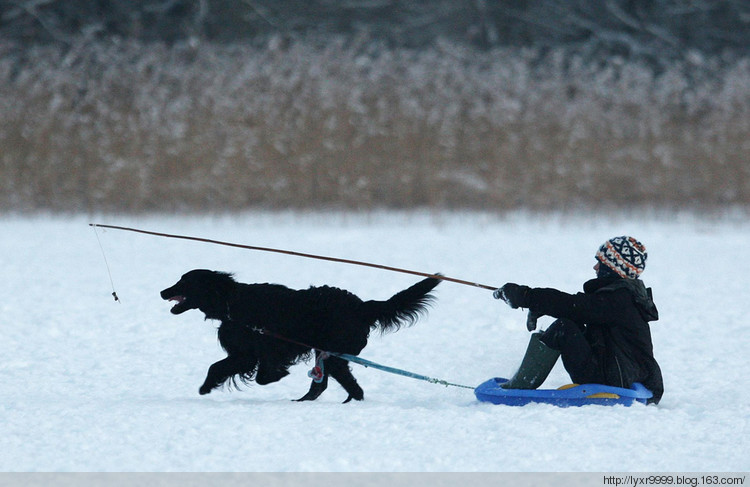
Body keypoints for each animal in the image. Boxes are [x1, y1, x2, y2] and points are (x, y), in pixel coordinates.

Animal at [160, 268, 440, 402]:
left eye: (185, 281)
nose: (163, 291)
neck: (231, 303)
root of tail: (363, 306)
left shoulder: (263, 348)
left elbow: (260, 374)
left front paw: (277, 375)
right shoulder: (244, 354)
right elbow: (217, 367)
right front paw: (206, 387)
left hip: (333, 353)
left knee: (341, 385)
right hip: (329, 354)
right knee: (338, 386)